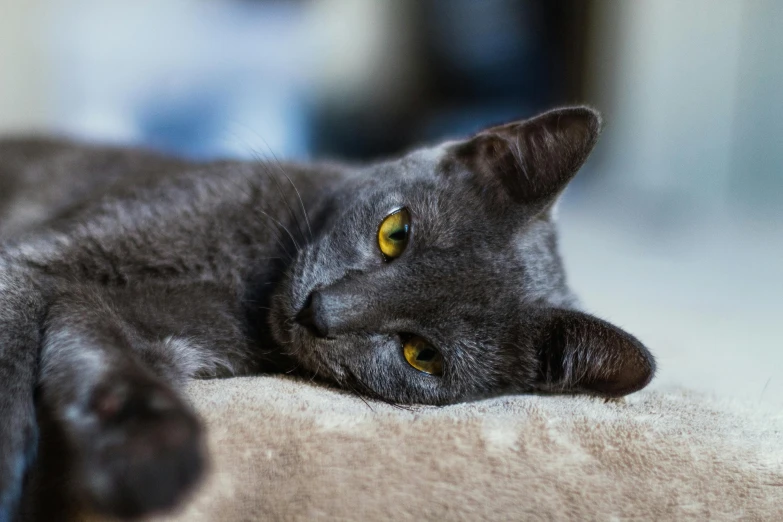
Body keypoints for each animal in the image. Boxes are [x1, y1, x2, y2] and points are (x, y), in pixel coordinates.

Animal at [0, 106, 656, 520]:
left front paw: (151, 458)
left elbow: (107, 360)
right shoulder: (38, 259)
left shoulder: (136, 328)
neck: (244, 288)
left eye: (421, 355)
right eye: (395, 232)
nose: (320, 311)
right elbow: (13, 346)